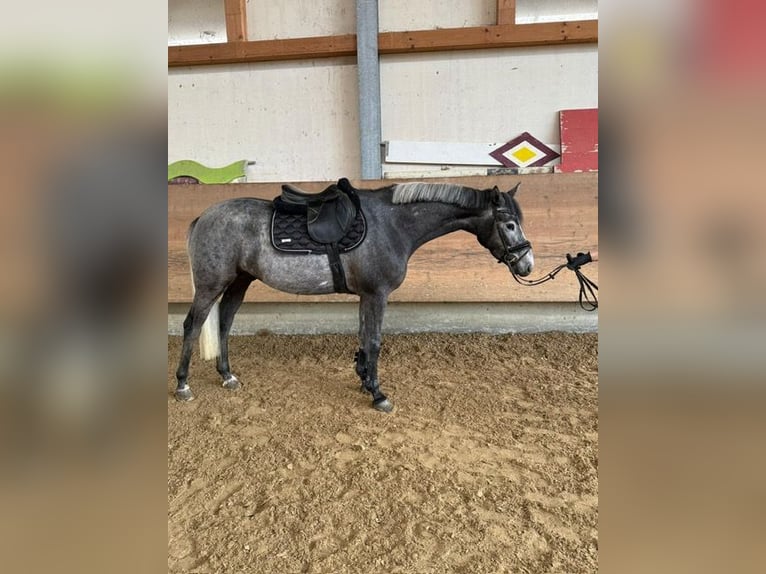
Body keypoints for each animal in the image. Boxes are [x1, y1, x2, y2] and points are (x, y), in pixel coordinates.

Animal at [173, 179, 534, 412]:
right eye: (510, 224)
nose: (527, 264)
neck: (393, 224)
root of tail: (202, 217)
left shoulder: (366, 295)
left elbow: (363, 337)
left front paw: (364, 380)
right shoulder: (377, 294)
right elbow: (373, 340)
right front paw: (378, 394)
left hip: (239, 281)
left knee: (224, 322)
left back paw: (227, 375)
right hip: (211, 284)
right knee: (193, 325)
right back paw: (182, 385)